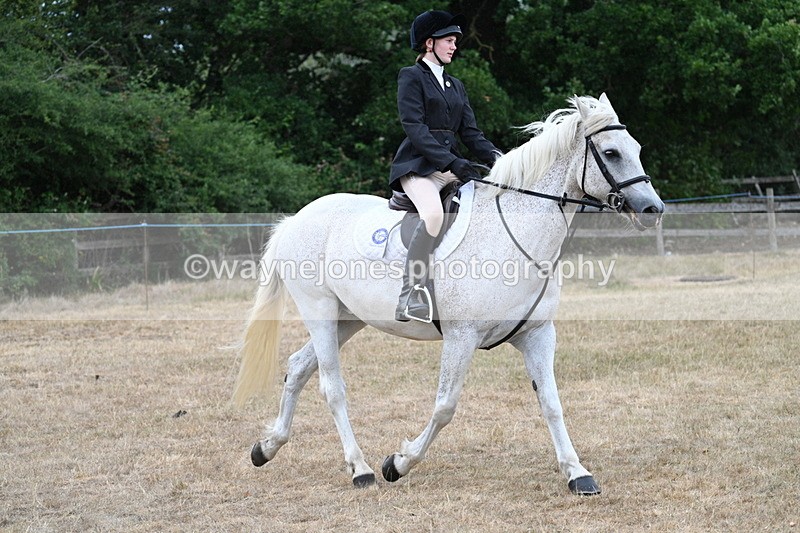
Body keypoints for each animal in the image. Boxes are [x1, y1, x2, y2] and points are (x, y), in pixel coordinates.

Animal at [233, 93, 665, 495]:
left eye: (637, 149)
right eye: (610, 153)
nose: (652, 209)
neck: (515, 237)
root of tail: (296, 219)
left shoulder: (537, 333)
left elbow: (551, 403)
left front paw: (578, 474)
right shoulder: (461, 337)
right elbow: (445, 406)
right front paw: (398, 463)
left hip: (348, 318)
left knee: (298, 367)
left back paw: (266, 447)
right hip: (319, 310)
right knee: (332, 387)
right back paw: (361, 469)